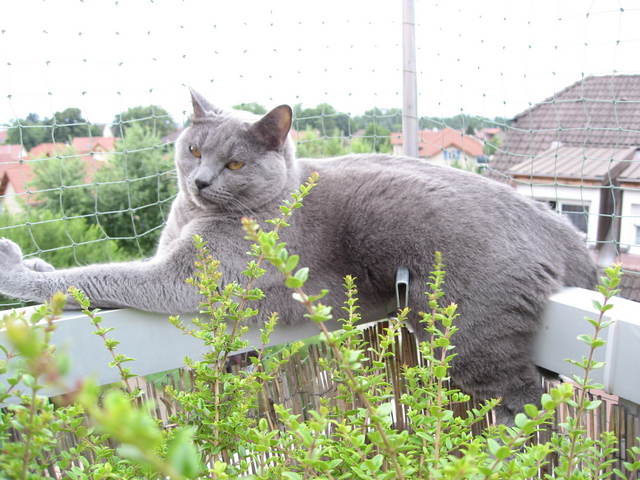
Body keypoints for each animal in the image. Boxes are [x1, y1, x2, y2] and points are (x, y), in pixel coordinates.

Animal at [0, 89, 596, 420]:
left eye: (235, 164)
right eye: (192, 149)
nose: (199, 180)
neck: (190, 215)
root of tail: (564, 233)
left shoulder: (183, 275)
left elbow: (98, 277)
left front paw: (16, 270)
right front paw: (36, 263)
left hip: (468, 331)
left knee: (528, 402)